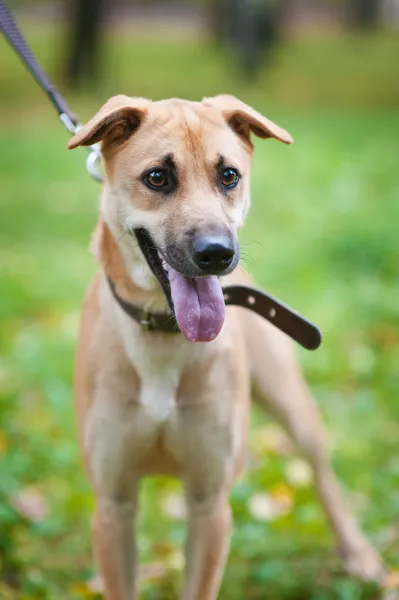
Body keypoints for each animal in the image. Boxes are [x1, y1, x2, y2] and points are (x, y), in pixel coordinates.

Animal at [68, 96, 382, 596]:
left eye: (229, 175)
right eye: (157, 177)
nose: (217, 253)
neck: (164, 335)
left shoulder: (210, 504)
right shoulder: (113, 507)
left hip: (290, 401)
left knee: (321, 470)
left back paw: (358, 551)